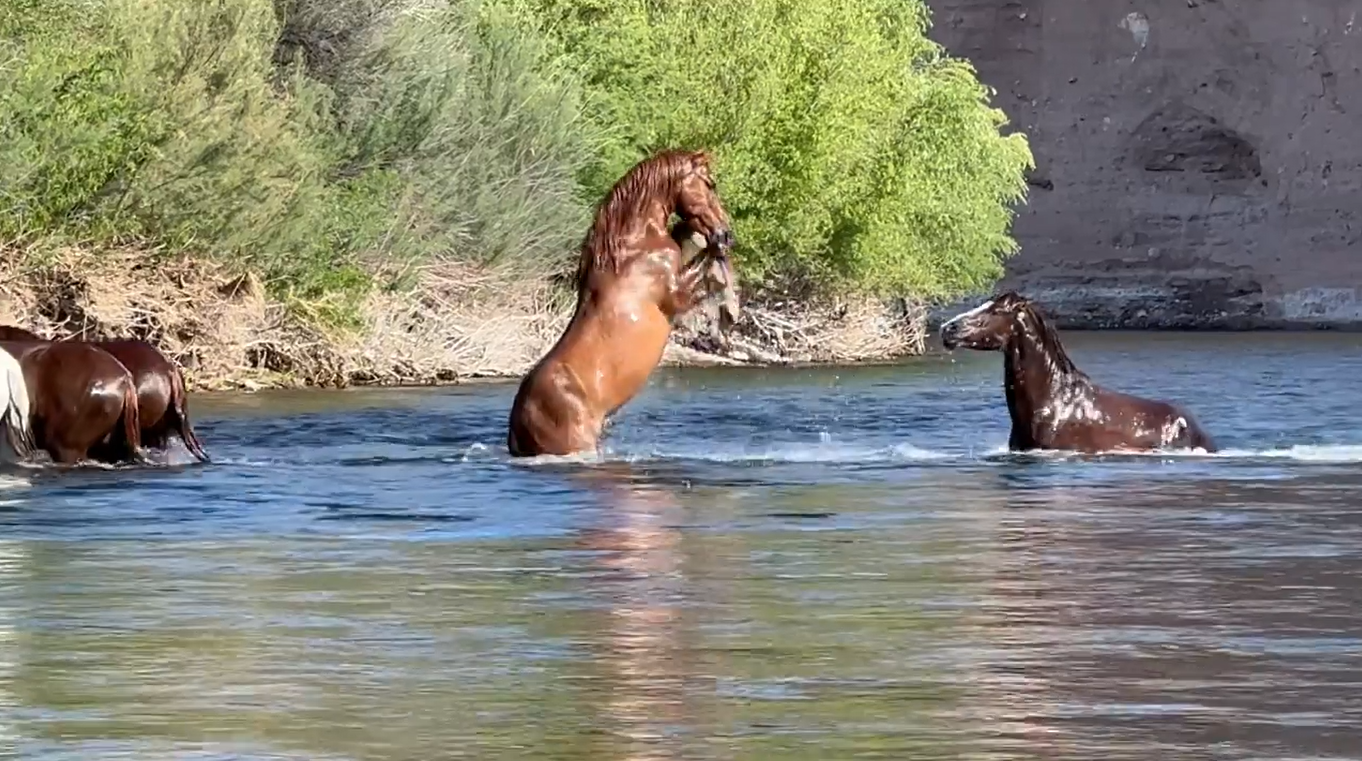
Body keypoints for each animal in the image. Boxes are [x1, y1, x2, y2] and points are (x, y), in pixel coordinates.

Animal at [506, 148, 736, 458]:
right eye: (711, 184)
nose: (726, 232)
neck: (634, 245)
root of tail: (518, 426)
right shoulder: (677, 295)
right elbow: (705, 264)